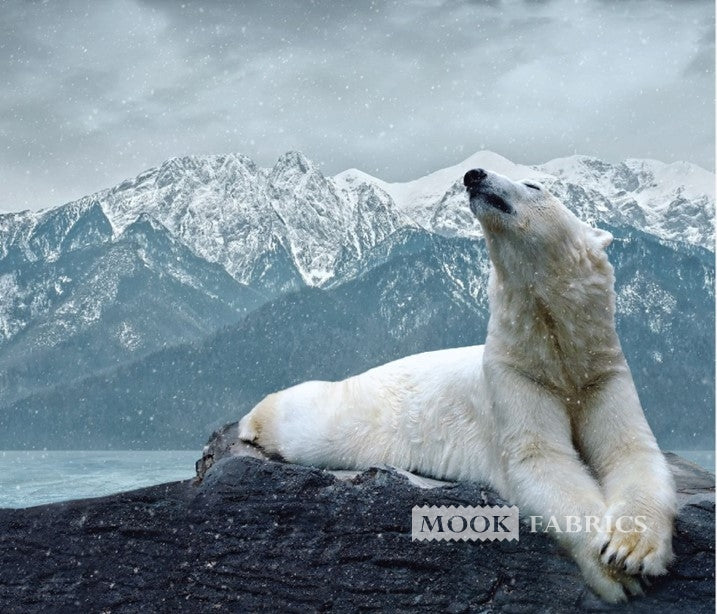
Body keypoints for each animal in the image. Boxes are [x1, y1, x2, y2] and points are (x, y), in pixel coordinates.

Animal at [239, 168, 676, 603]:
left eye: (534, 184)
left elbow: (631, 450)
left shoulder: (600, 373)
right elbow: (542, 459)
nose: (474, 174)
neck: (556, 353)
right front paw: (615, 572)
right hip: (359, 413)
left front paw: (631, 550)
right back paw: (252, 422)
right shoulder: (514, 375)